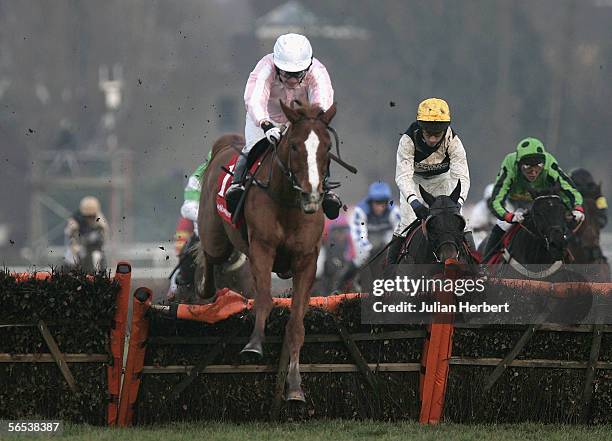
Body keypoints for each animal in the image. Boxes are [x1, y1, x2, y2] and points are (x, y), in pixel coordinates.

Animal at [198, 99, 338, 402]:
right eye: (295, 146)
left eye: (327, 147)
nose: (312, 194)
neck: (288, 203)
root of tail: (225, 144)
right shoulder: (262, 248)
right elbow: (263, 299)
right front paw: (254, 345)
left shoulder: (306, 260)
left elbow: (296, 323)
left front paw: (295, 386)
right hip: (214, 235)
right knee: (210, 255)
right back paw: (205, 290)